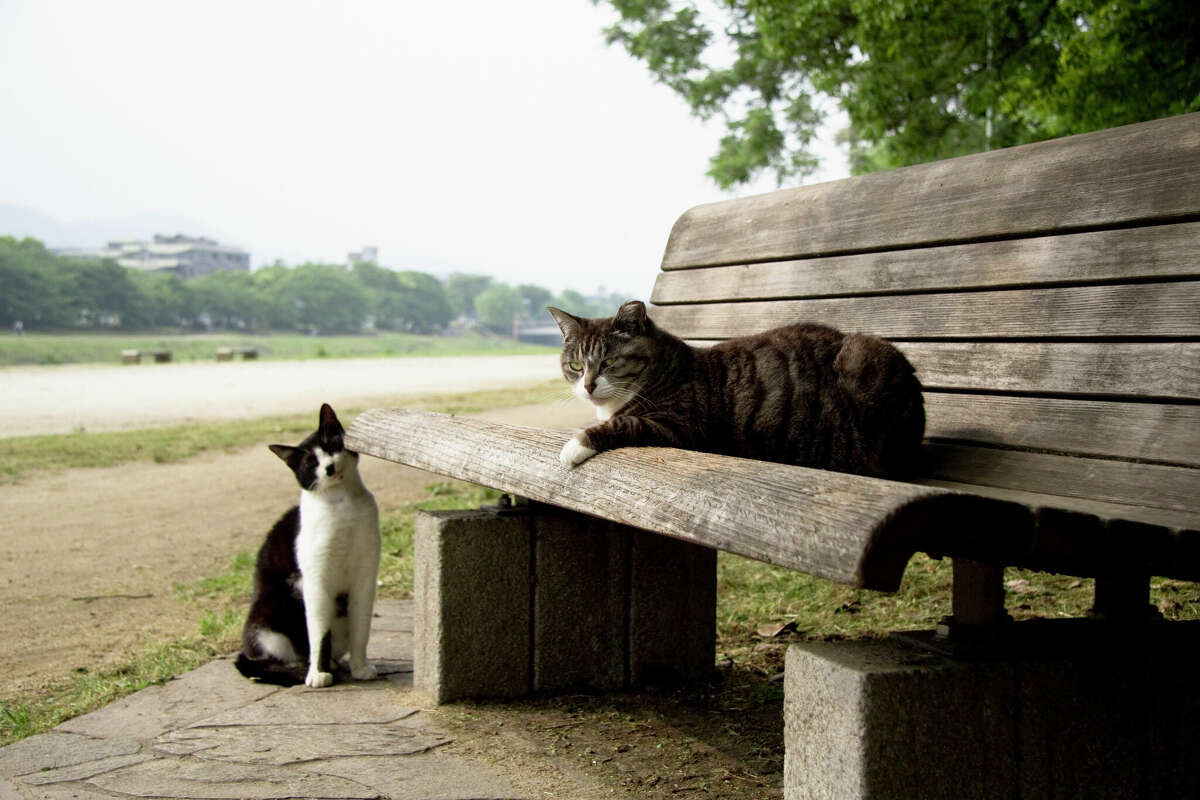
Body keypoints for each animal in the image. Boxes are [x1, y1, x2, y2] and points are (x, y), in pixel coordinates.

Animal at [234, 407, 379, 690]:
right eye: (311, 463)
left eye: (332, 445)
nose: (329, 467)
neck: (342, 504)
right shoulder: (316, 580)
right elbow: (320, 633)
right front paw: (318, 674)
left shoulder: (365, 575)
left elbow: (361, 629)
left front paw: (360, 667)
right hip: (269, 618)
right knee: (277, 657)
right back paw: (301, 668)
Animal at [549, 298, 921, 474]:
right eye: (576, 365)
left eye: (609, 362)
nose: (588, 386)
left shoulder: (681, 426)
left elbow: (624, 422)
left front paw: (574, 447)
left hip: (866, 359)